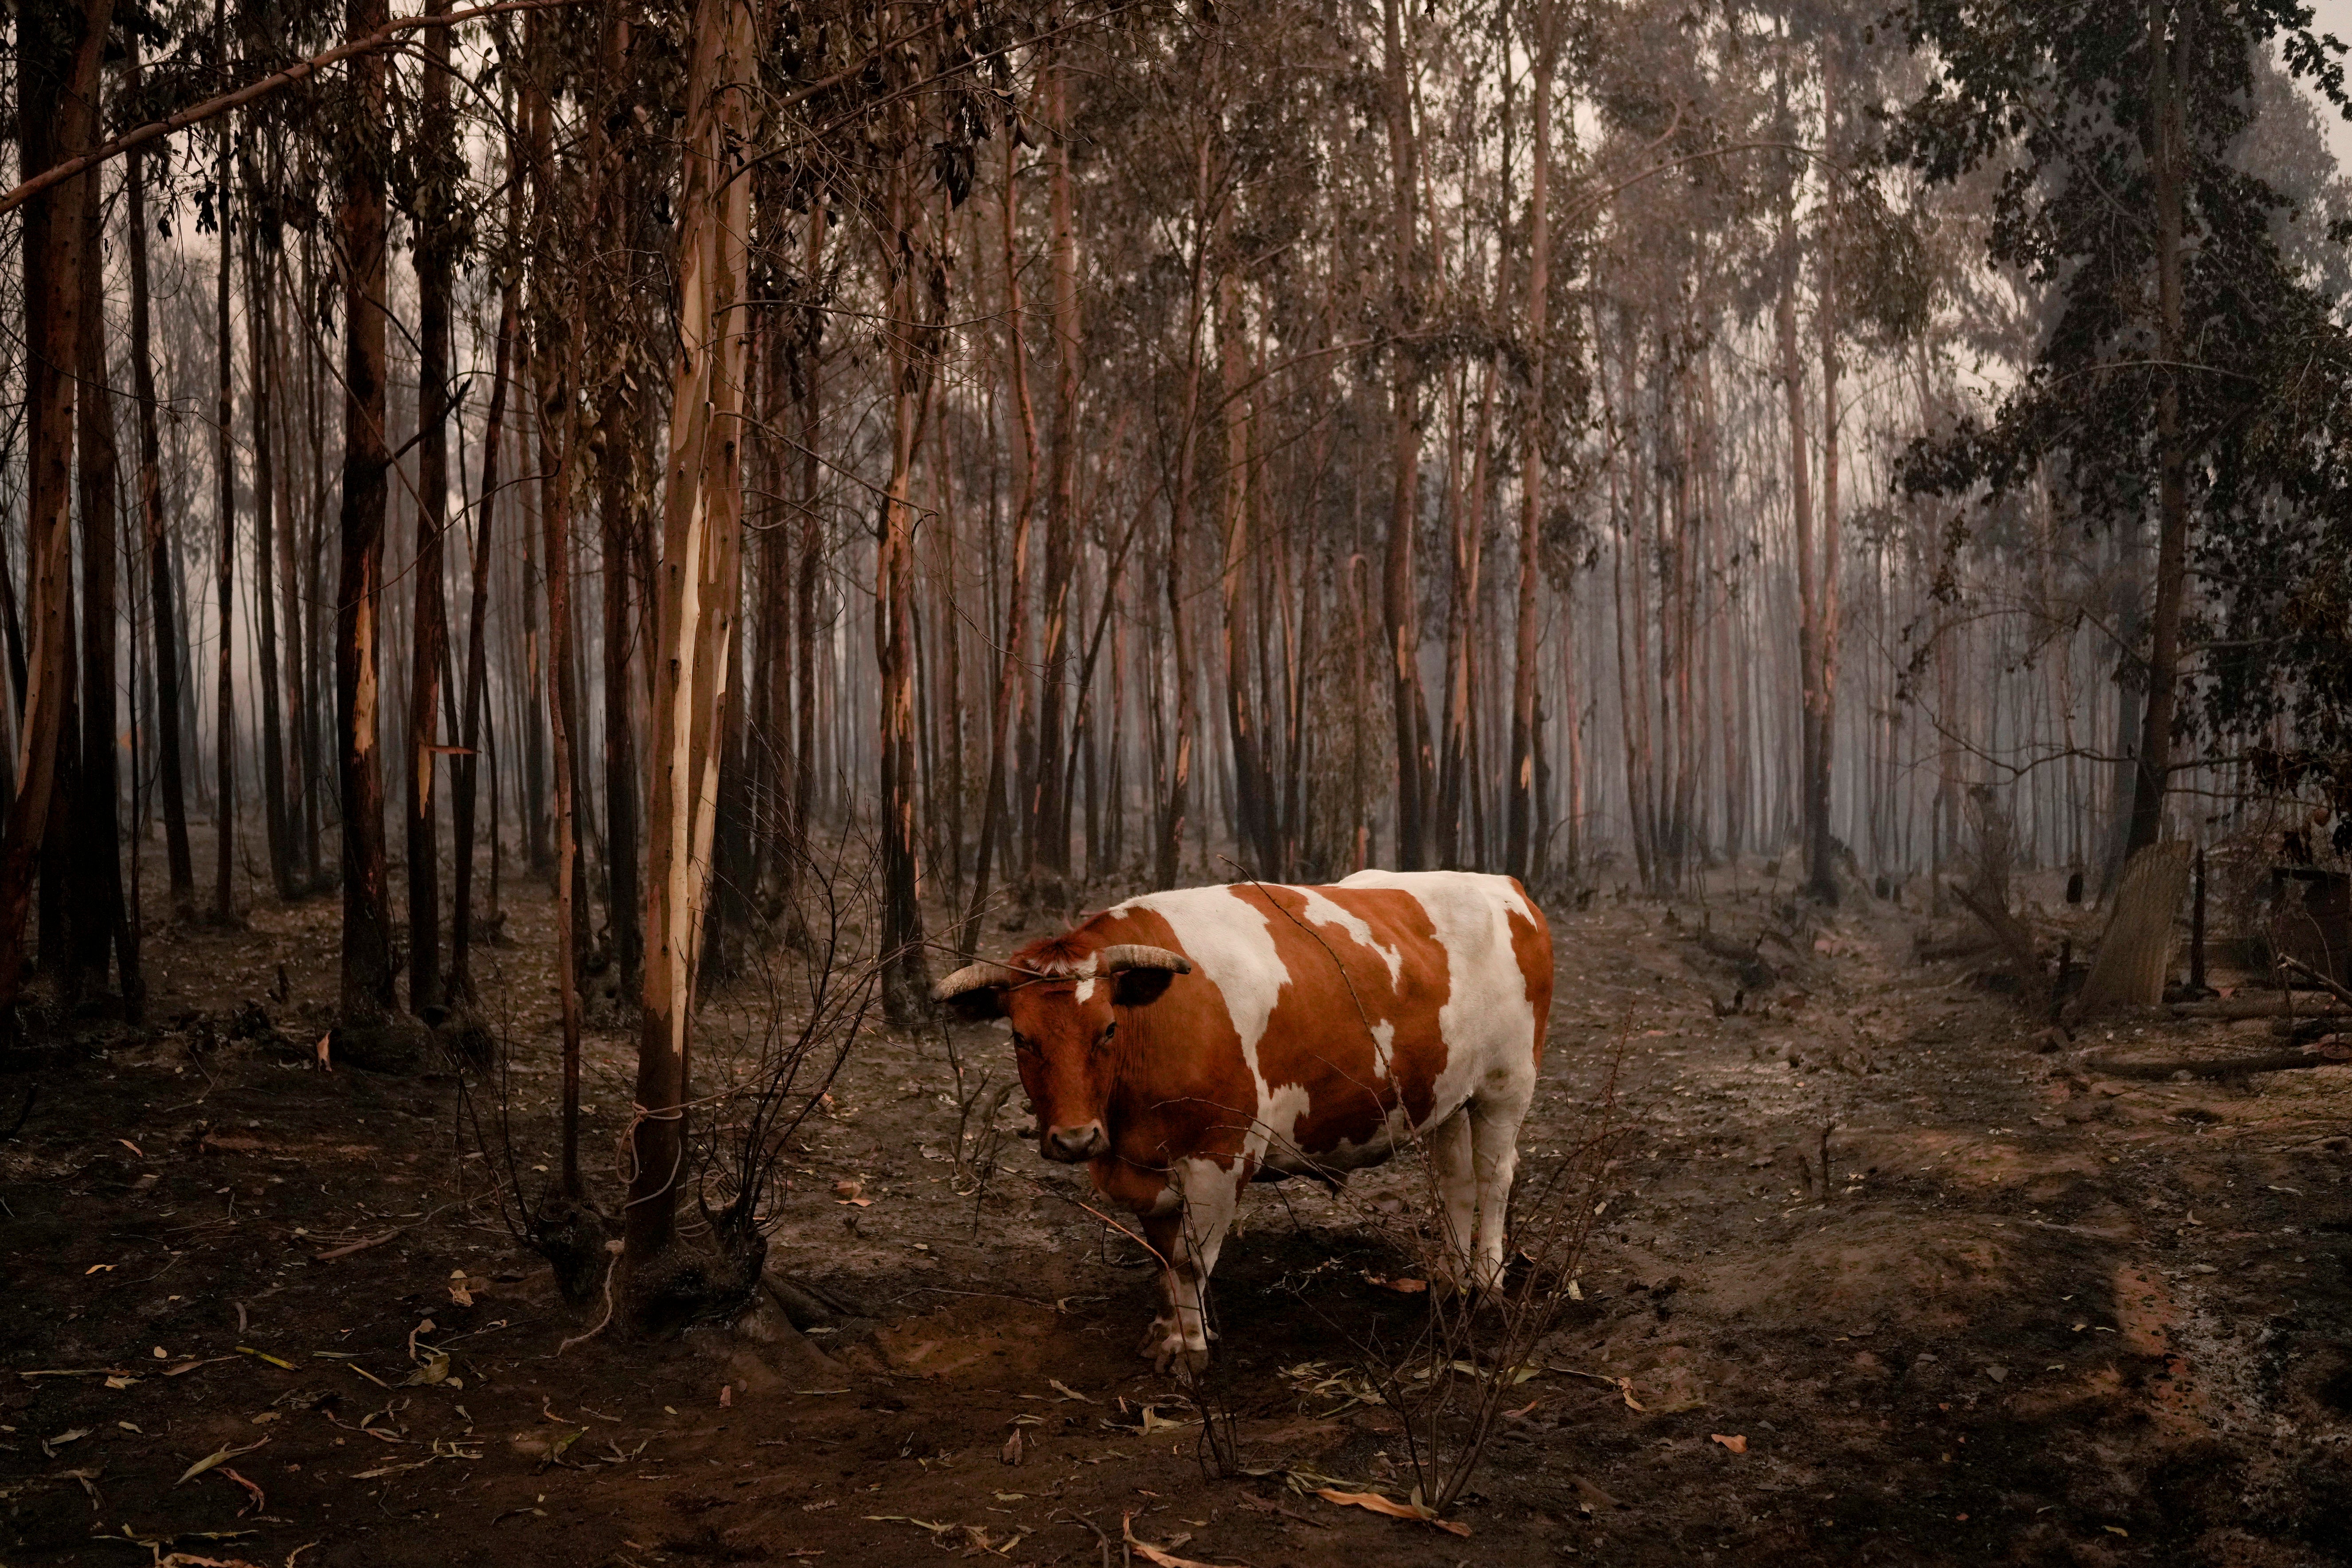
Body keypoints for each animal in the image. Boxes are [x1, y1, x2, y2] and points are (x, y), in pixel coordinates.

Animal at [926, 870, 1552, 1372]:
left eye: (1107, 1029)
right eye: (1020, 1037)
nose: (1076, 1139)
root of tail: (1504, 886)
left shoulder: (1217, 1157)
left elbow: (1188, 1261)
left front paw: (1188, 1349)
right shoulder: (1147, 1165)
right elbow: (1163, 1259)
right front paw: (1168, 1331)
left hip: (1506, 1083)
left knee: (1494, 1178)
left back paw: (1487, 1284)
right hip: (1448, 1094)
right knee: (1456, 1182)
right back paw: (1450, 1280)